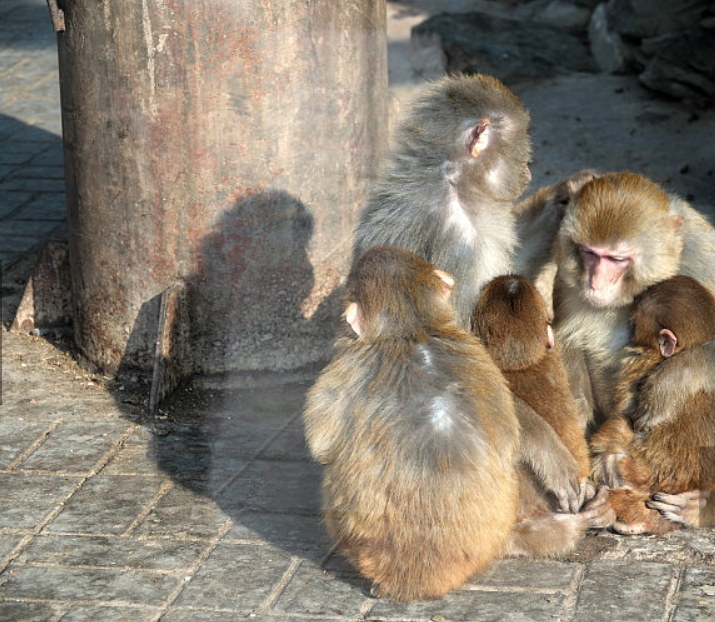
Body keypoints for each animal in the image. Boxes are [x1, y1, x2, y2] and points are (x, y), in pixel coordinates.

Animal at [302, 247, 520, 604]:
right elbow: (509, 442)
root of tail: (413, 580)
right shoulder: (480, 356)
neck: (410, 330)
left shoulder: (341, 371)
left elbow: (321, 444)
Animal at [552, 173, 715, 432]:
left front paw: (669, 384)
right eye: (589, 253)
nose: (595, 283)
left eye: (616, 259)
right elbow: (566, 338)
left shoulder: (699, 262)